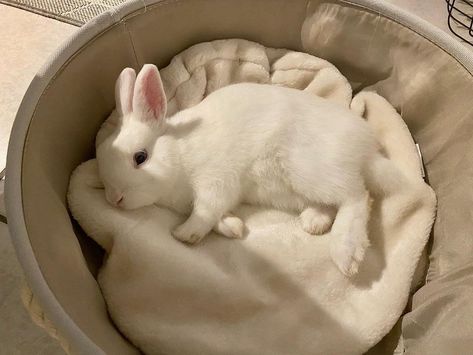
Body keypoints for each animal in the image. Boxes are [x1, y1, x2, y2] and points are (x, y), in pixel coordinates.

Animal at [97, 64, 406, 276]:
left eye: (140, 157)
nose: (115, 199)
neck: (180, 153)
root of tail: (366, 149)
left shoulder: (215, 182)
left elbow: (206, 210)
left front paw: (184, 234)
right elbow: (217, 216)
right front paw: (233, 228)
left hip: (313, 172)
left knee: (357, 196)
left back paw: (346, 254)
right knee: (336, 202)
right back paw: (314, 222)